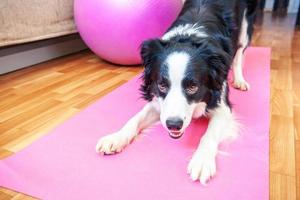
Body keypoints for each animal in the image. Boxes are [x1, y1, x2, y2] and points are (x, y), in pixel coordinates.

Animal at [97, 0, 256, 184]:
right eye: (162, 85)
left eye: (193, 86)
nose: (173, 125)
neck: (188, 38)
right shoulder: (159, 102)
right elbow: (135, 119)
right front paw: (115, 138)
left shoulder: (222, 103)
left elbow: (209, 134)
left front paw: (201, 161)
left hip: (245, 25)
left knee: (239, 53)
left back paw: (239, 80)